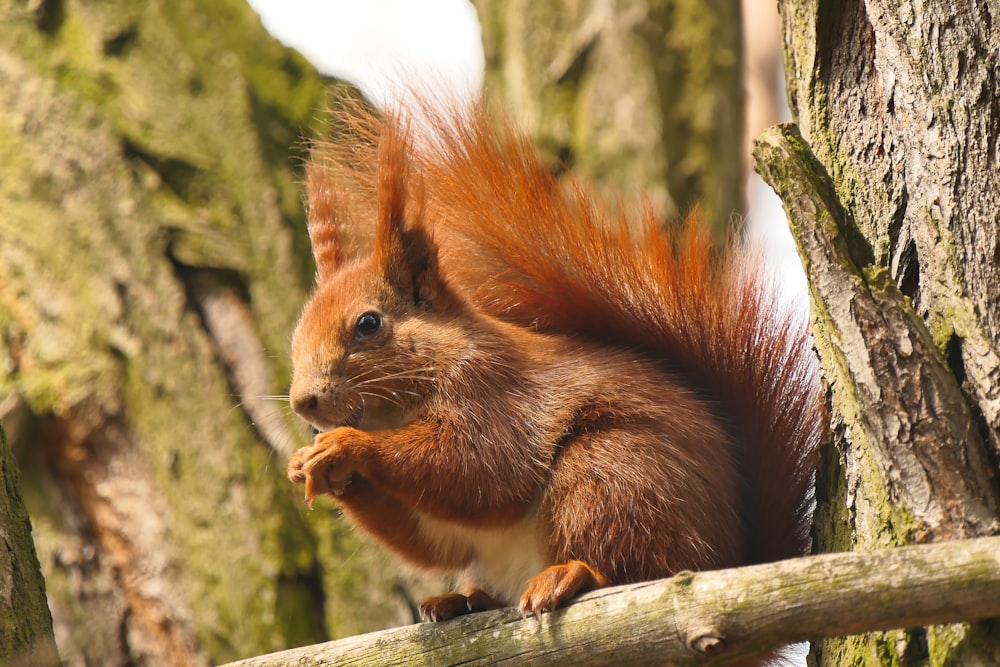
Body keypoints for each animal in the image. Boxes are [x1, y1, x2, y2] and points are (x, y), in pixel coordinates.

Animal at [286, 98, 824, 628]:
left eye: (368, 324)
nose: (303, 402)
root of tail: (730, 559)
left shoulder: (492, 391)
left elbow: (476, 471)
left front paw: (346, 447)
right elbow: (432, 543)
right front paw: (308, 465)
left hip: (614, 475)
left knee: (634, 566)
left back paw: (572, 574)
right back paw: (464, 601)